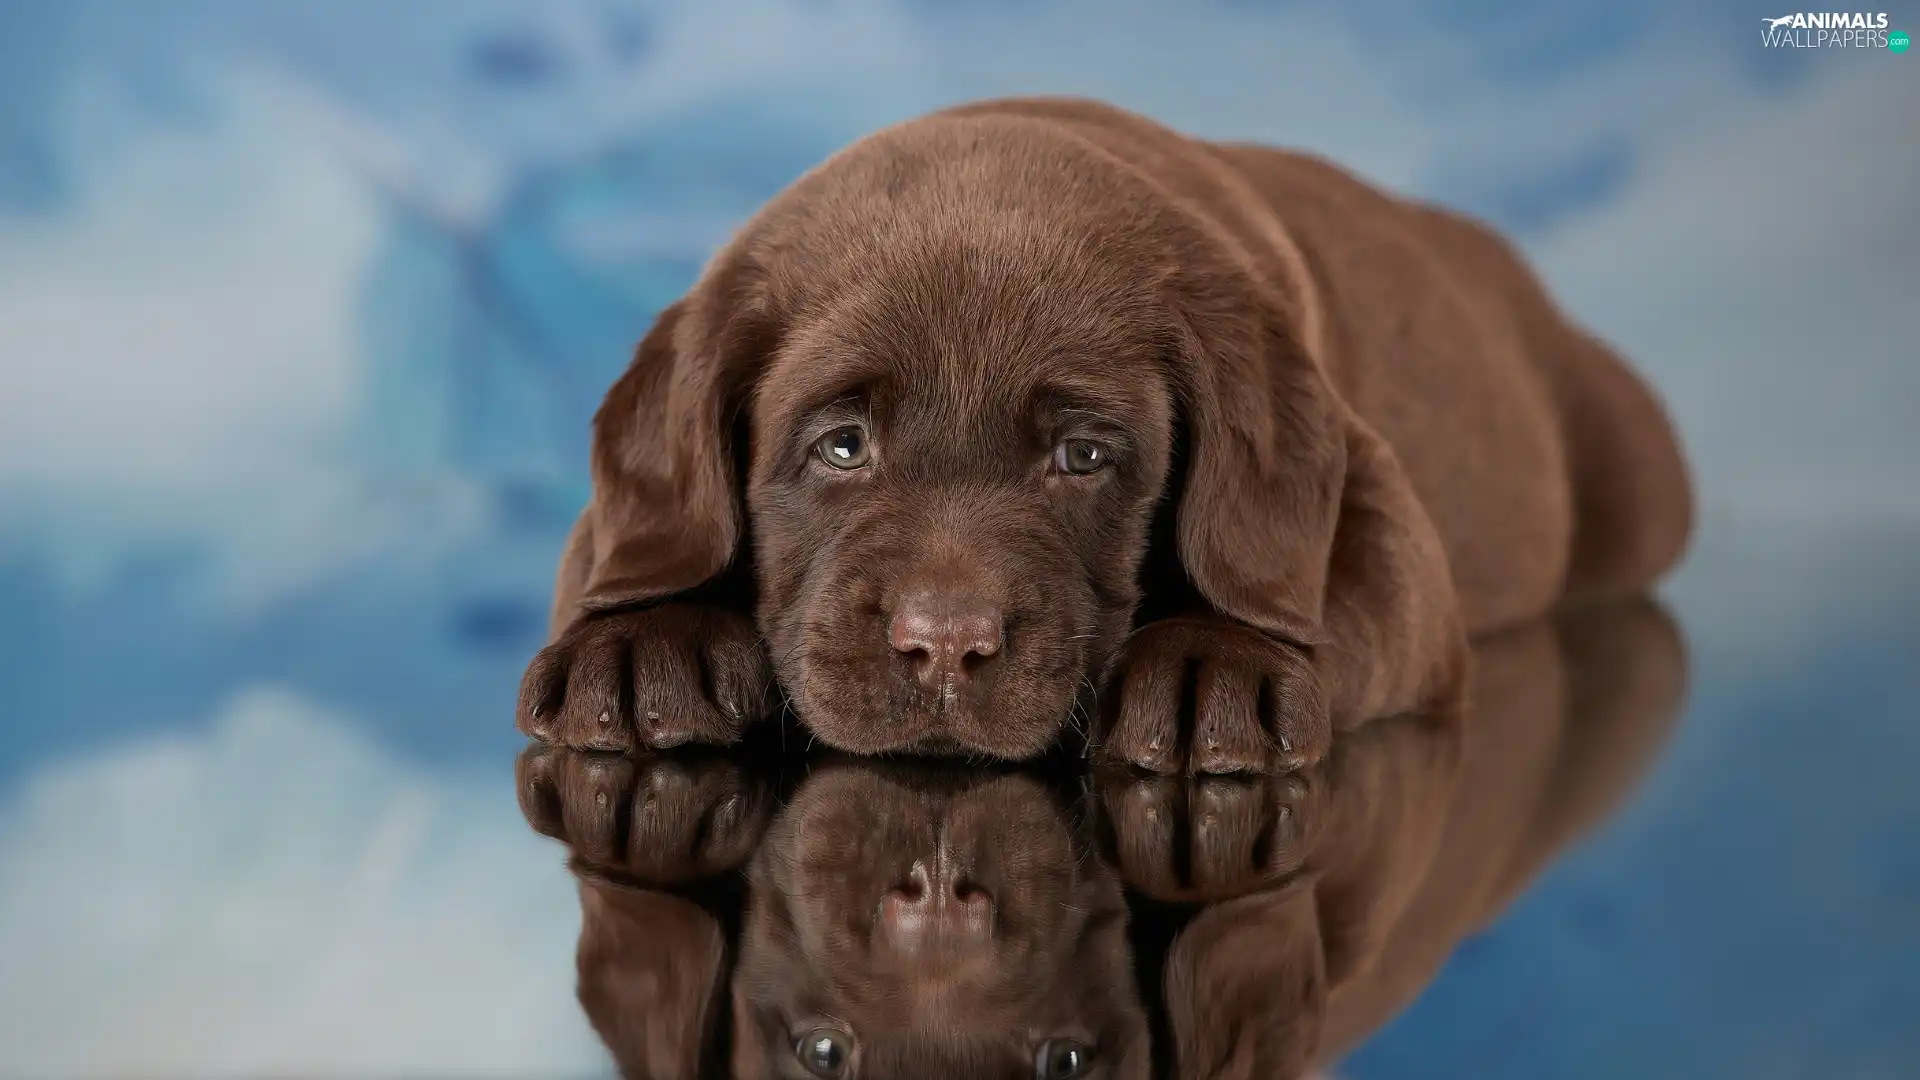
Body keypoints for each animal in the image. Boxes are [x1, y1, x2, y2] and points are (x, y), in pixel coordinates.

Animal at [514, 92, 1697, 764]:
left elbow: (1336, 595)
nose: (944, 647)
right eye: (841, 445)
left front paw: (1214, 670)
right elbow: (626, 564)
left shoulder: (1373, 500)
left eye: (1083, 457)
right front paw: (642, 651)